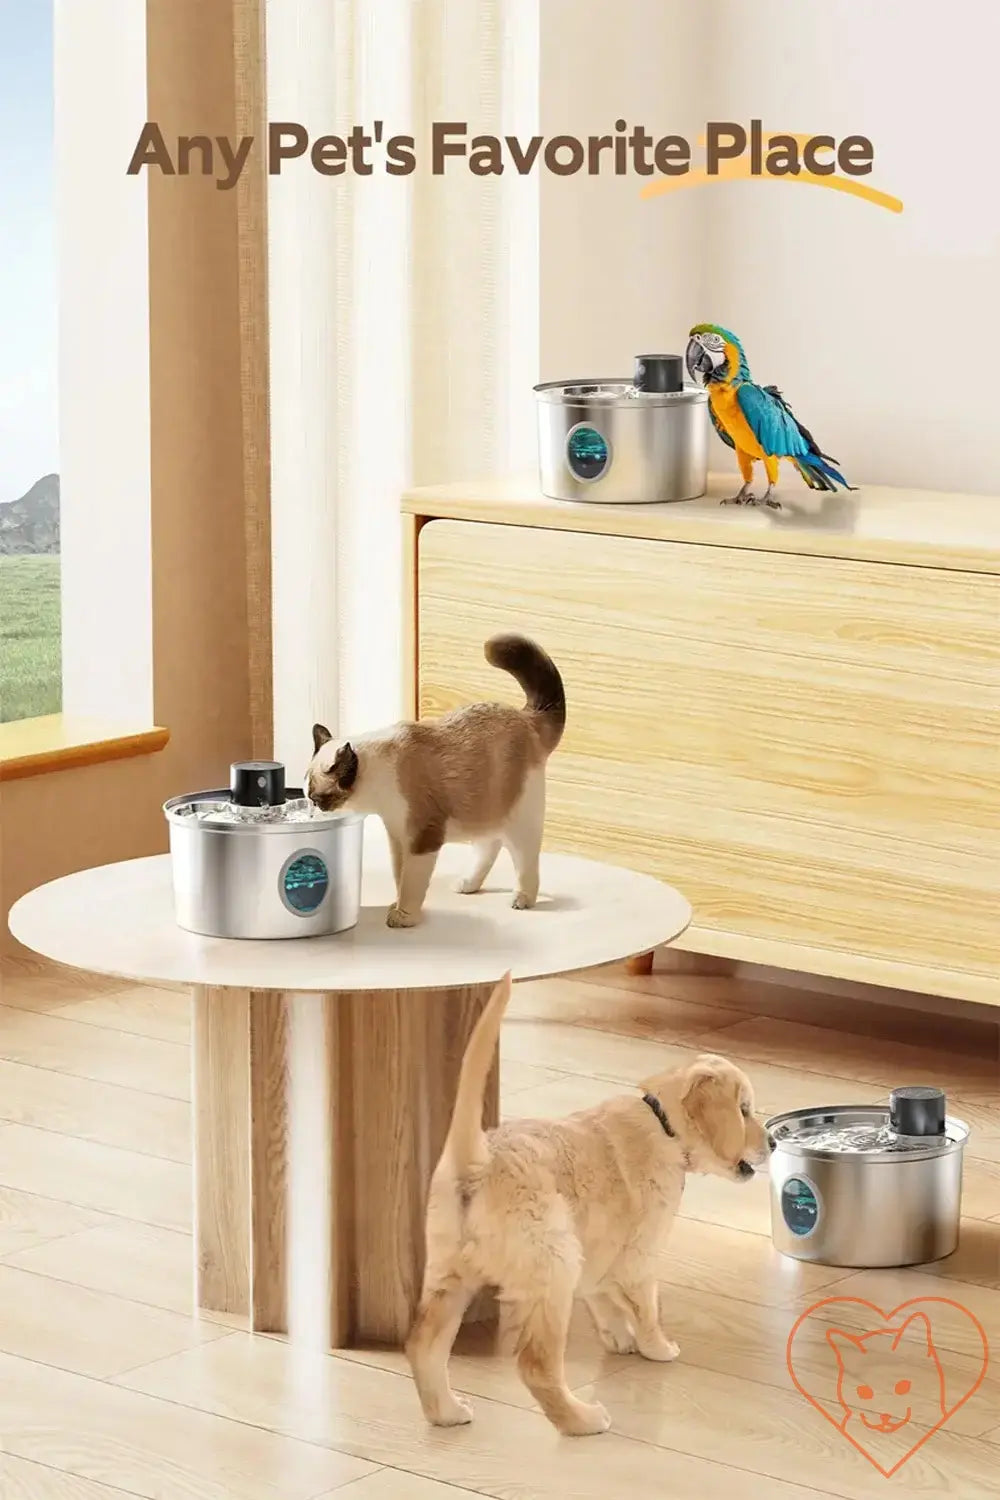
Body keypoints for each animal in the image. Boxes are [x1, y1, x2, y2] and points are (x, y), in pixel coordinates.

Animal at [305, 633, 566, 924]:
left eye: (317, 798)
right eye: (308, 796)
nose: (311, 811)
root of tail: (526, 717)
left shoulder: (422, 838)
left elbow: (411, 883)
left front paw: (403, 916)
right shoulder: (398, 837)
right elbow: (400, 876)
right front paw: (395, 905)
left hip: (519, 822)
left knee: (524, 860)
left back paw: (522, 899)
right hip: (485, 809)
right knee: (489, 845)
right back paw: (467, 883)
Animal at [407, 972, 773, 1440]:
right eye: (744, 1110)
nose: (774, 1142)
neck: (663, 1123)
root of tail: (478, 1161)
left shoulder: (598, 1248)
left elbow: (602, 1294)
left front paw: (619, 1337)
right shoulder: (641, 1253)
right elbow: (646, 1307)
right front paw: (658, 1347)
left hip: (448, 1274)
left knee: (423, 1345)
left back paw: (447, 1411)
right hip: (553, 1265)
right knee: (536, 1365)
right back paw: (583, 1420)